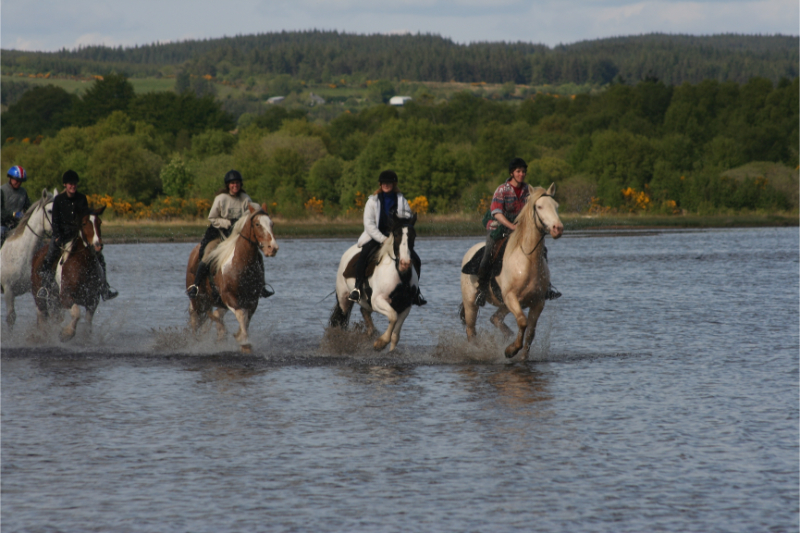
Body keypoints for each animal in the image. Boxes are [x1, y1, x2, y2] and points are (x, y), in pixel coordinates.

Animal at [29, 206, 106, 338]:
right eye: (84, 223)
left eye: (99, 222)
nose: (98, 245)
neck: (84, 264)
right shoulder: (66, 297)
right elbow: (76, 313)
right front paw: (66, 334)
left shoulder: (92, 301)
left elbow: (88, 321)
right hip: (40, 299)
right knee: (42, 318)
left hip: (55, 302)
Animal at [185, 204, 278, 354]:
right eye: (257, 224)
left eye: (272, 224)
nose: (273, 248)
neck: (241, 264)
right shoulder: (229, 297)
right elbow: (241, 315)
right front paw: (244, 342)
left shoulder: (252, 300)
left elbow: (246, 319)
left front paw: (241, 338)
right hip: (197, 300)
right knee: (195, 320)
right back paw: (194, 343)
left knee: (216, 315)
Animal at [330, 210, 422, 352]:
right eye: (396, 235)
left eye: (414, 235)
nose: (405, 263)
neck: (401, 276)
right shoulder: (377, 300)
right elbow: (393, 316)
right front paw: (380, 343)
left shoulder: (405, 305)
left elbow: (395, 334)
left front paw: (390, 351)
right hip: (344, 299)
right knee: (342, 320)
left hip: (365, 302)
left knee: (364, 311)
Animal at [460, 184, 564, 362]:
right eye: (539, 206)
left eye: (556, 206)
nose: (558, 228)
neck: (526, 259)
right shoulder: (511, 297)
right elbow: (522, 322)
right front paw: (510, 350)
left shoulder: (537, 302)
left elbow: (530, 332)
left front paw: (522, 357)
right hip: (471, 302)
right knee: (471, 330)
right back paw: (476, 351)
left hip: (503, 304)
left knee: (495, 318)